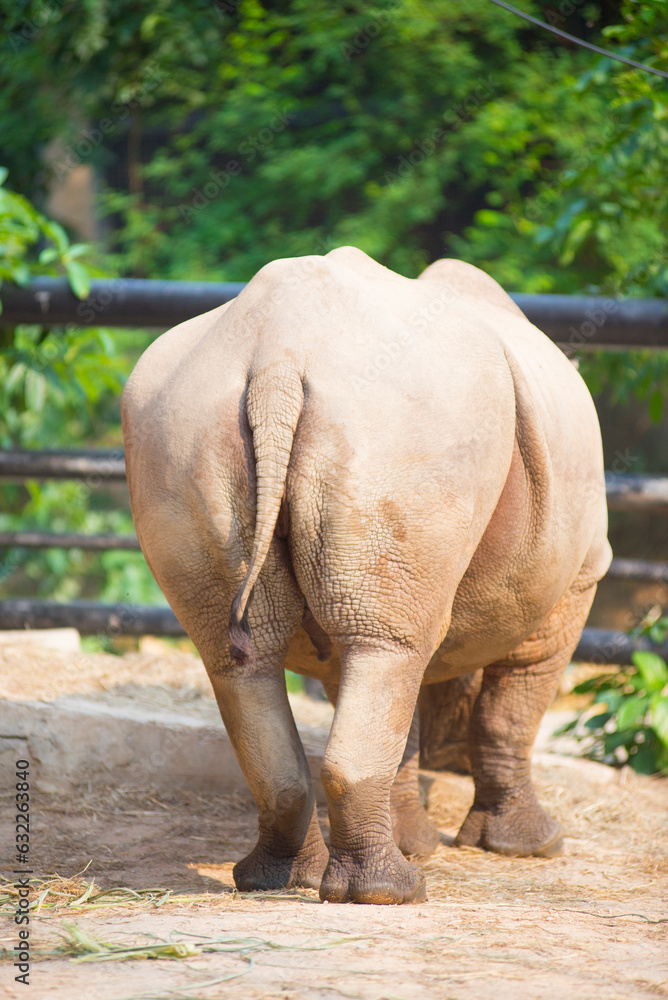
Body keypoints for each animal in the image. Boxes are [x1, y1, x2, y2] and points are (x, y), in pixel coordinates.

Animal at [122, 247, 611, 904]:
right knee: (386, 648)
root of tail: (277, 360)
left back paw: (276, 881)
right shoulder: (578, 578)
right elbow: (513, 708)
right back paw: (390, 894)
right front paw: (530, 847)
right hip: (402, 424)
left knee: (255, 657)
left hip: (180, 420)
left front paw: (420, 841)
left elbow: (396, 712)